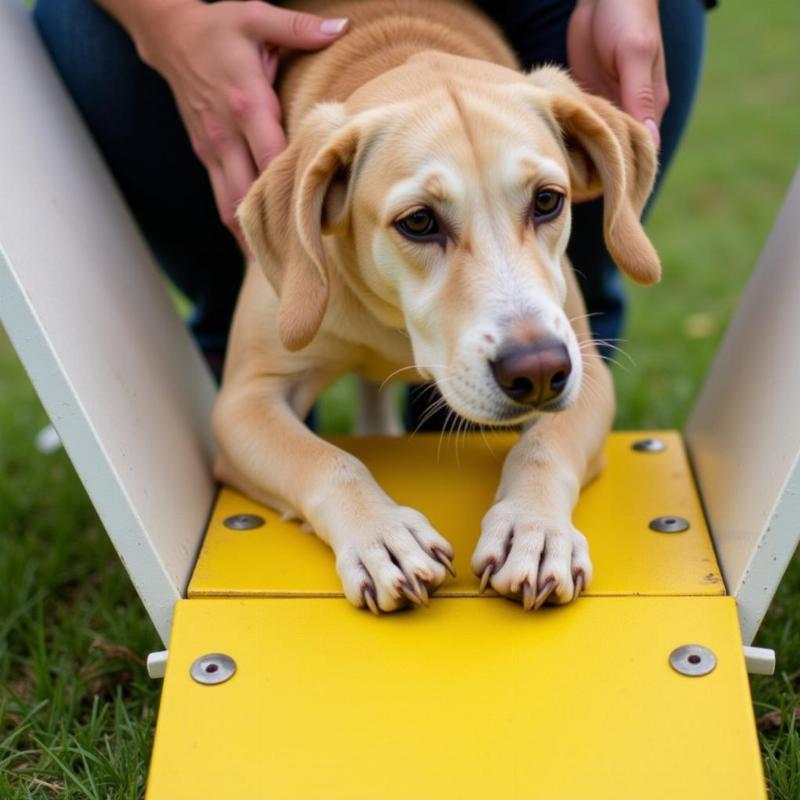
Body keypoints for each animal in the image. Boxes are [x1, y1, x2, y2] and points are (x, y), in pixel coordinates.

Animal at [209, 0, 660, 612]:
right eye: (419, 221)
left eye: (547, 200)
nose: (540, 371)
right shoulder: (242, 400)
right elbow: (331, 461)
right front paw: (384, 535)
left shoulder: (586, 369)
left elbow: (542, 446)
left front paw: (534, 530)